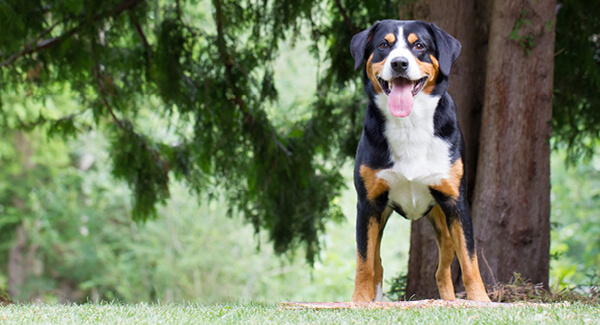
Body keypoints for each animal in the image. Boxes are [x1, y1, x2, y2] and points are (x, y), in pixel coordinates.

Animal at [350, 19, 490, 302]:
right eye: (384, 45)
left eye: (419, 46)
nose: (399, 63)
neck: (409, 124)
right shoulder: (368, 204)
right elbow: (364, 262)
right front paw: (359, 301)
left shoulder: (456, 202)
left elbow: (470, 260)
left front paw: (481, 300)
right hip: (380, 216)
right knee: (377, 263)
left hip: (443, 224)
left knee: (442, 269)